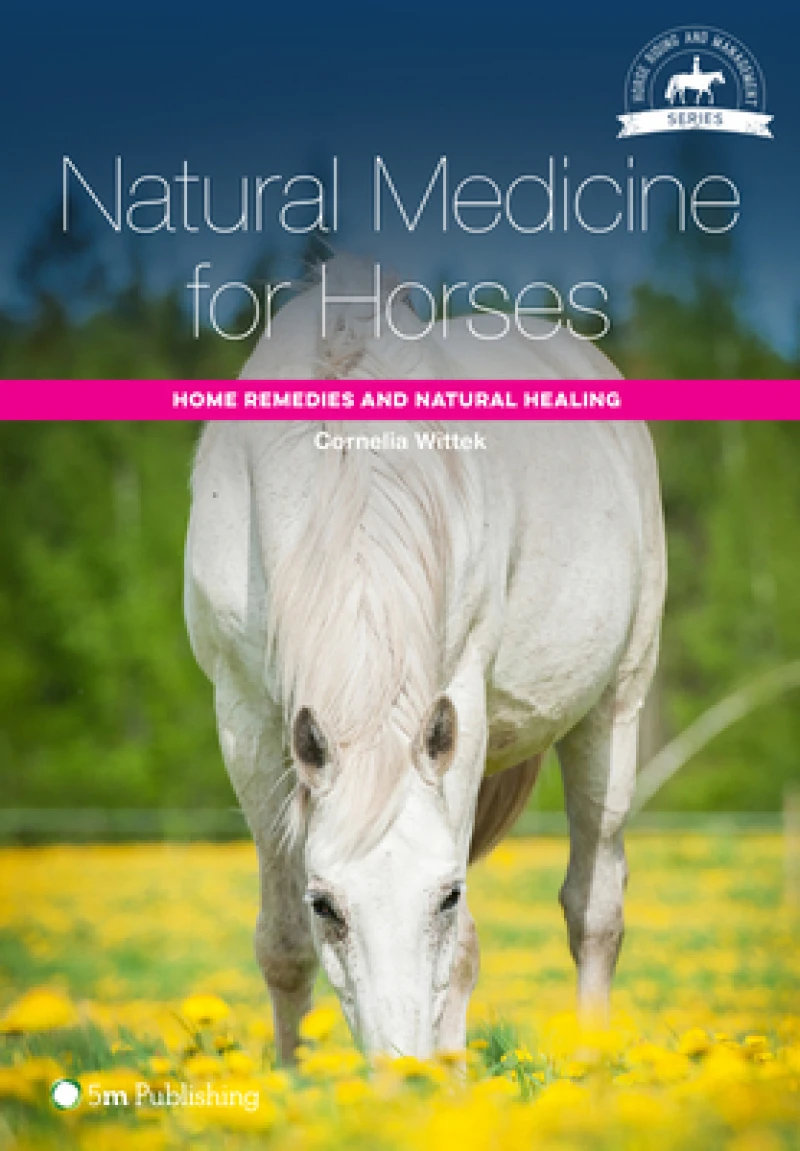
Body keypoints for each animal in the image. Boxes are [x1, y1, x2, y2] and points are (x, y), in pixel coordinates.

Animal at [184, 257, 667, 1061]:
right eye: (326, 904)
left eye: (445, 895)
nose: (400, 1069)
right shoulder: (244, 718)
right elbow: (281, 946)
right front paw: (291, 1079)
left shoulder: (458, 703)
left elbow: (465, 949)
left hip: (616, 707)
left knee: (594, 909)